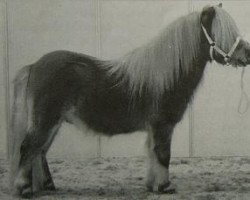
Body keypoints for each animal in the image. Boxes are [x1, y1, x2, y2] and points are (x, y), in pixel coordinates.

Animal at [7, 3, 250, 198]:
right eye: (224, 32)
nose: (248, 53)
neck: (166, 74)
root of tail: (34, 66)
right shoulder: (163, 125)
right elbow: (163, 154)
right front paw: (166, 187)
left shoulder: (154, 128)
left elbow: (152, 153)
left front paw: (153, 186)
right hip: (46, 121)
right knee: (28, 148)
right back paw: (24, 189)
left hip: (52, 124)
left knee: (39, 152)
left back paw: (47, 186)